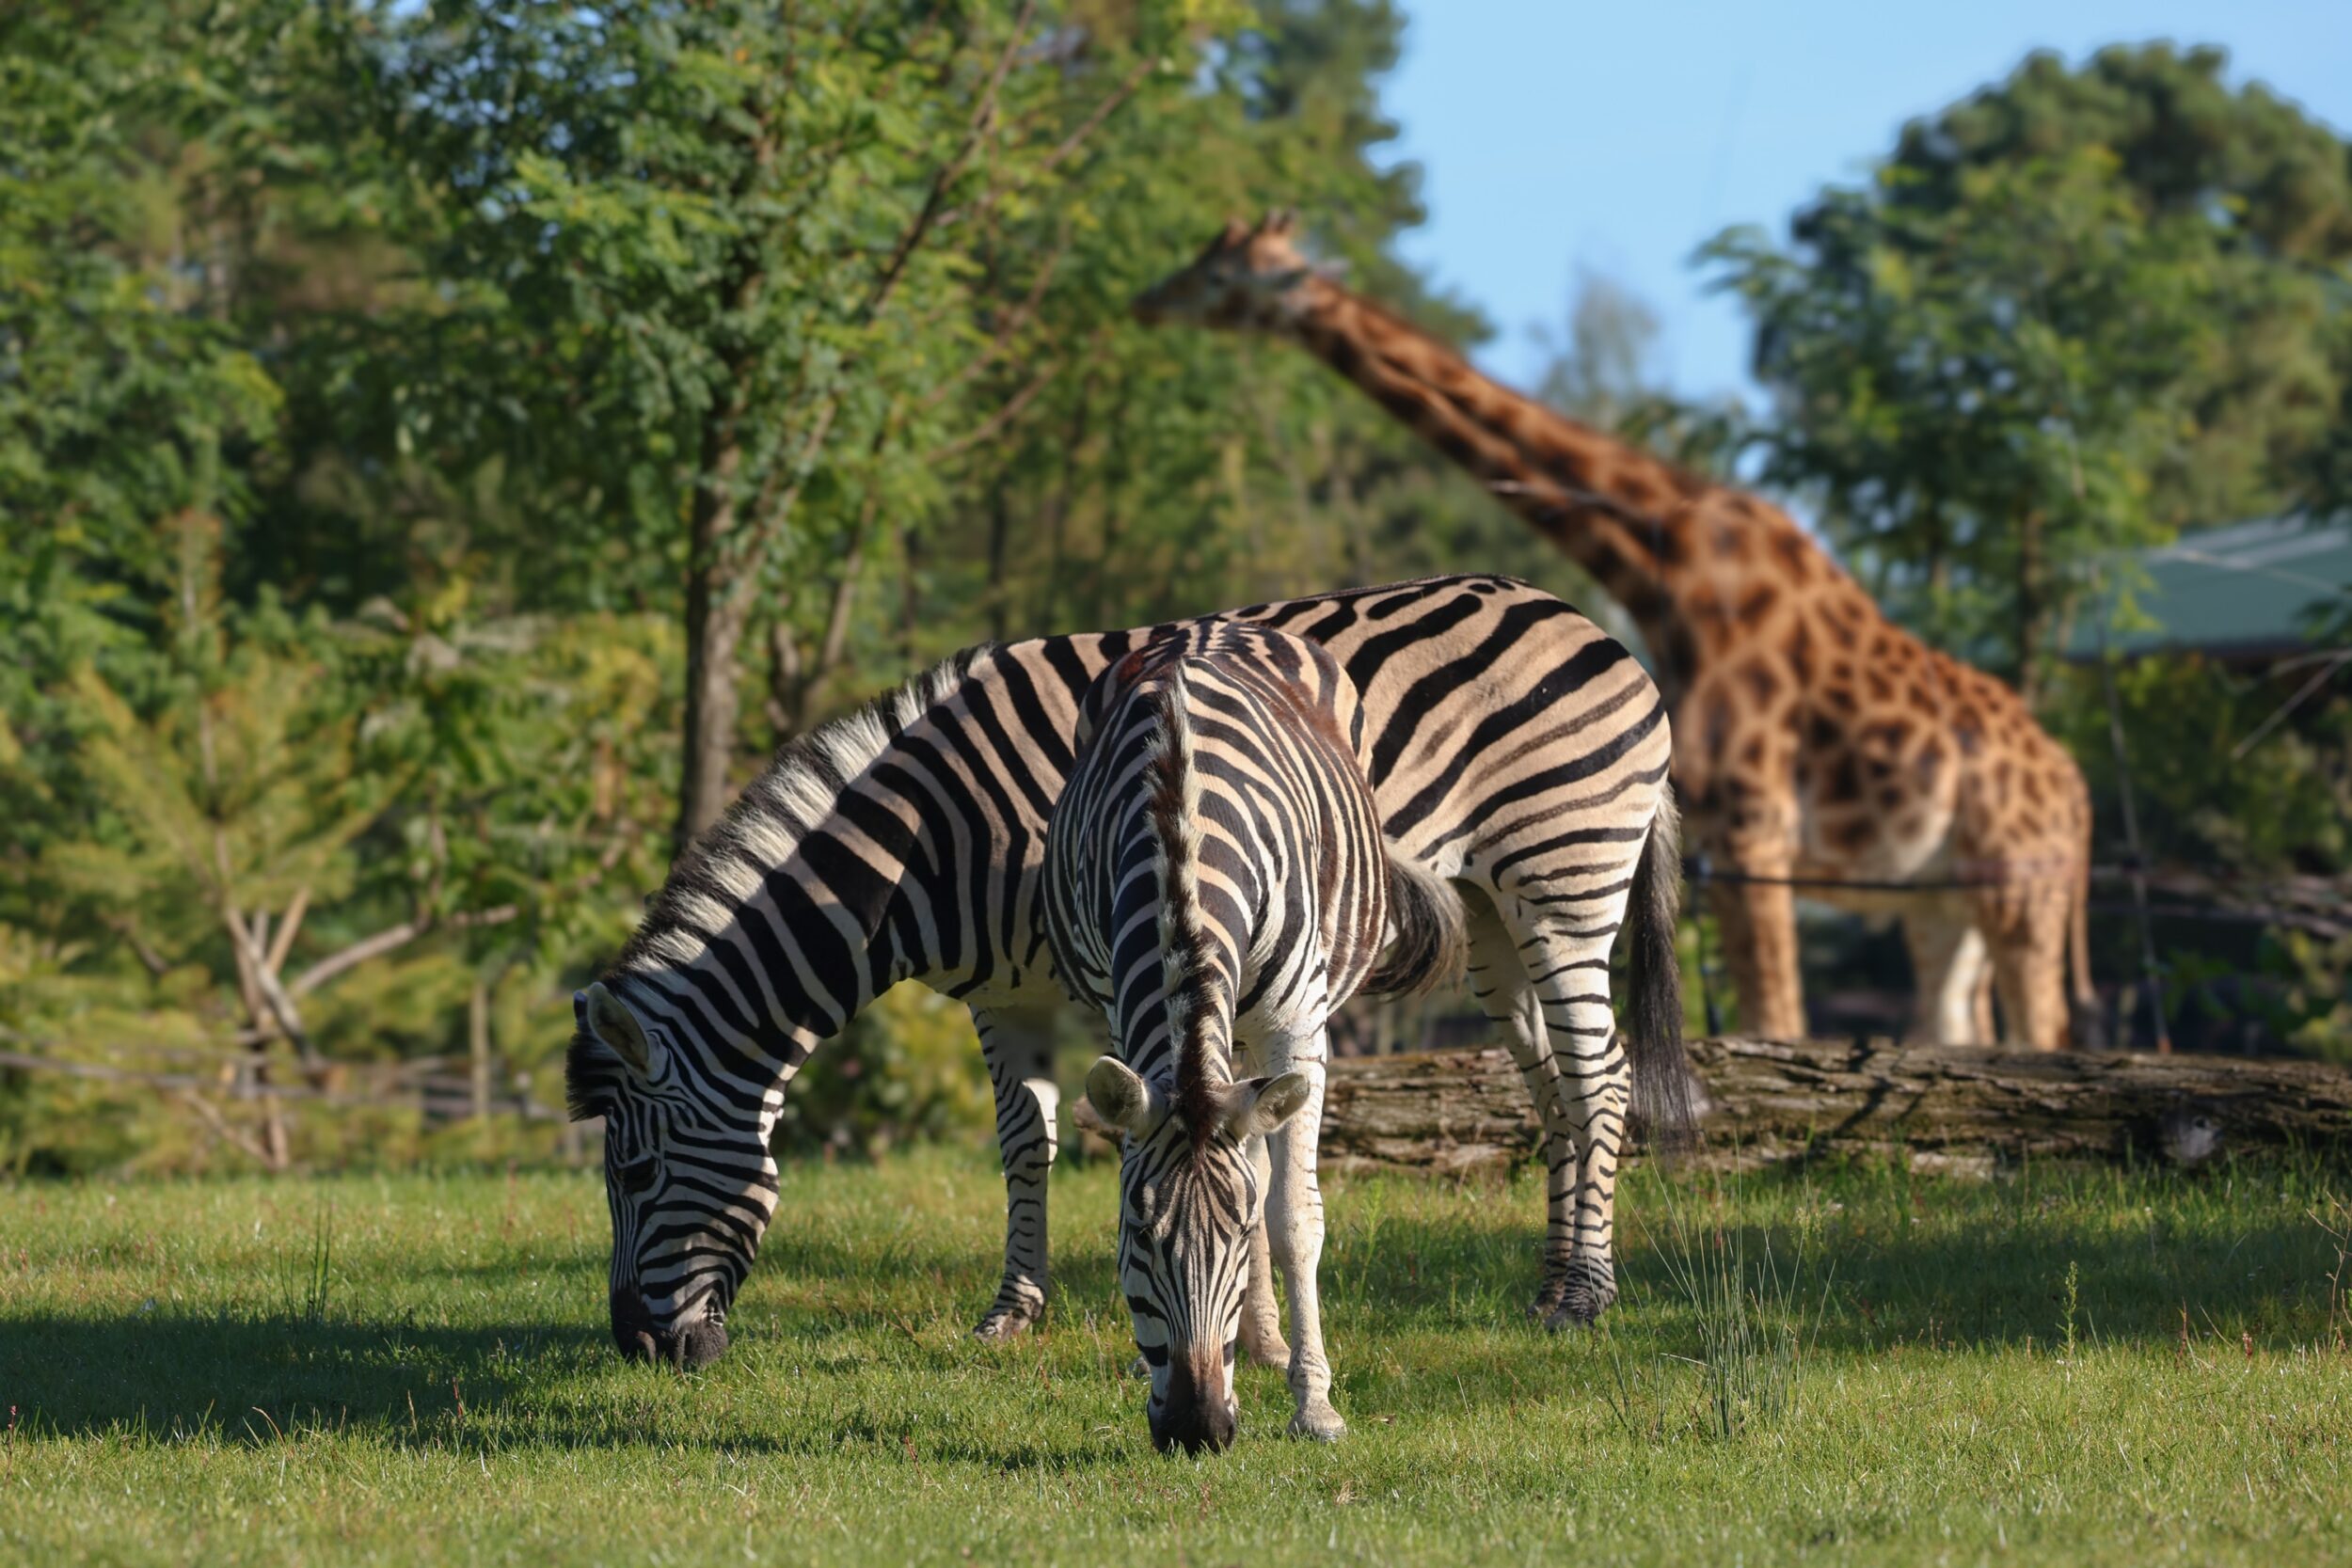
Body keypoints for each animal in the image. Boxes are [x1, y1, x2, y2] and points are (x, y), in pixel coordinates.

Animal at [566, 573, 1693, 1372]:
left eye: (635, 1174)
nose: (638, 1347)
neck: (930, 843)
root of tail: (1594, 629)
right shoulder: (1008, 995)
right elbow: (1025, 1143)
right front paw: (1012, 1313)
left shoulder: (1117, 974)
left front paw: (1213, 1326)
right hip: (1492, 917)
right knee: (1553, 1089)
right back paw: (1551, 1285)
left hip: (1565, 876)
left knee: (1602, 1080)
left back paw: (1586, 1298)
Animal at [1044, 620, 1458, 1457]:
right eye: (1140, 1233)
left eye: (1233, 1238)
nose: (1196, 1429)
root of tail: (1208, 625)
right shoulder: (1124, 1013)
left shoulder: (1299, 1021)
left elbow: (1291, 1213)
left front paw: (1316, 1404)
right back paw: (1263, 1341)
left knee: (1266, 1167)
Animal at [1129, 205, 2107, 1043]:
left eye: (1225, 273)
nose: (1146, 299)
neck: (1658, 557)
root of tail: (2080, 797)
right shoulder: (1719, 834)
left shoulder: (1752, 822)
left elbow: (1777, 1019)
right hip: (1941, 903)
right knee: (1962, 1023)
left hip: (2019, 888)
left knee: (2042, 1027)